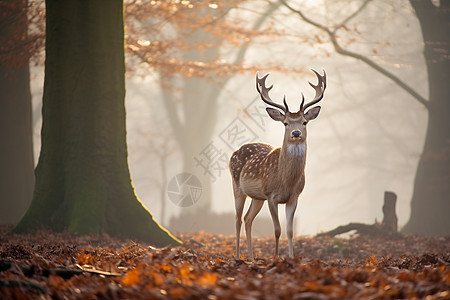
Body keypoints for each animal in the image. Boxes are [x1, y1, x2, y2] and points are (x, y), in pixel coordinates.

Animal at [230, 69, 326, 260]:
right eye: (286, 123)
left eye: (304, 122)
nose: (296, 133)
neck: (286, 181)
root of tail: (234, 152)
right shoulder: (271, 196)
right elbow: (277, 230)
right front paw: (275, 258)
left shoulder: (294, 196)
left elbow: (289, 231)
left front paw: (291, 258)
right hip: (237, 187)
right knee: (237, 219)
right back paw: (237, 256)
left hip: (257, 197)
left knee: (247, 218)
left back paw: (251, 258)